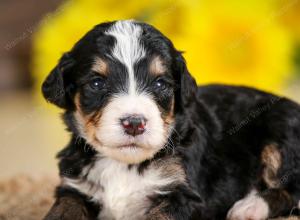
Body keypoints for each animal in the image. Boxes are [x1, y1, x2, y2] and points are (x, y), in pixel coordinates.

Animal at [42, 19, 300, 219]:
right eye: (96, 83)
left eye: (160, 84)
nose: (134, 123)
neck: (124, 165)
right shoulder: (74, 188)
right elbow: (64, 210)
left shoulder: (184, 194)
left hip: (281, 131)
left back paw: (249, 207)